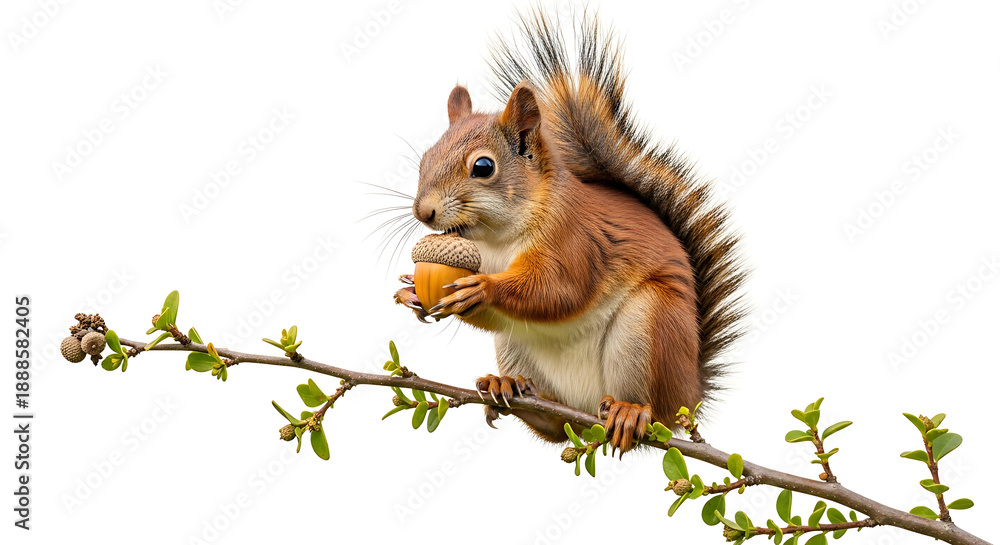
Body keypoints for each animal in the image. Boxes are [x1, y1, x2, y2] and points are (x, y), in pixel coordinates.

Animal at [394, 11, 745, 454]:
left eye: (483, 167)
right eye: (425, 158)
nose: (423, 212)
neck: (495, 240)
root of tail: (691, 395)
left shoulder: (575, 242)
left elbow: (559, 290)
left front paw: (483, 289)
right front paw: (410, 292)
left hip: (650, 328)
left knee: (654, 413)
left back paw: (630, 411)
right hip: (514, 346)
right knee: (553, 426)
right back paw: (511, 388)